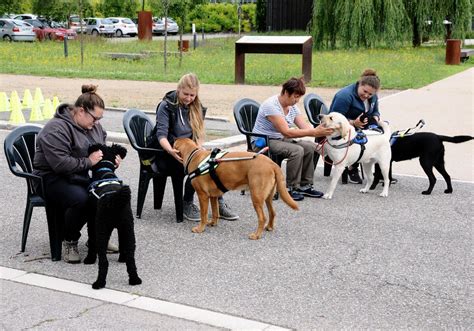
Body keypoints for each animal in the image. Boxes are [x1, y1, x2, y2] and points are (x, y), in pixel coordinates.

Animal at [84, 144, 142, 290]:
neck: (105, 171)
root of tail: (114, 200)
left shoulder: (92, 222)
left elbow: (91, 241)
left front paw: (89, 259)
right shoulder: (122, 228)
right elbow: (122, 244)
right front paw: (122, 258)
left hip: (102, 229)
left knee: (103, 261)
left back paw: (99, 283)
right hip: (129, 230)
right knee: (131, 259)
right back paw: (134, 279)